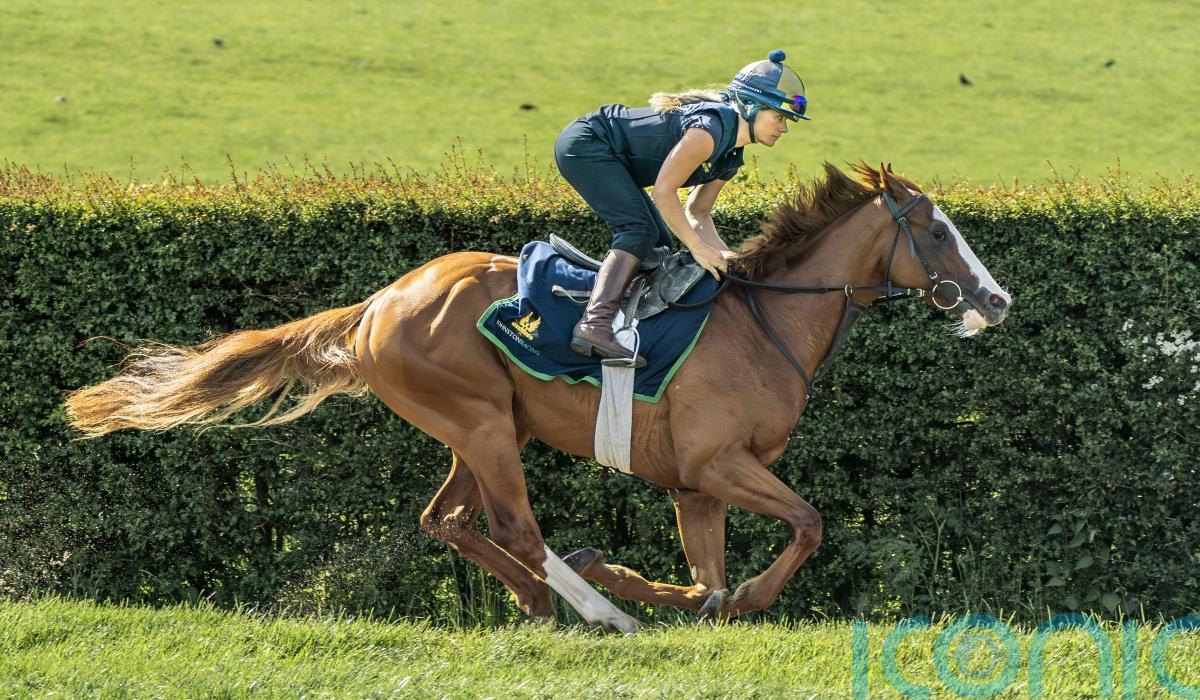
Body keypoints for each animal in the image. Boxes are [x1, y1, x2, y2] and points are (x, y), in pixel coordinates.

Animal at [65, 163, 1011, 634]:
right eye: (936, 231)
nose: (996, 300)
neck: (763, 325)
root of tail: (378, 302)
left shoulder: (694, 486)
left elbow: (704, 580)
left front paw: (671, 588)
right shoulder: (718, 464)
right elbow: (804, 527)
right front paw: (698, 594)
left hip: (480, 427)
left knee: (447, 519)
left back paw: (540, 601)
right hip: (480, 422)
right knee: (512, 525)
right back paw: (594, 610)